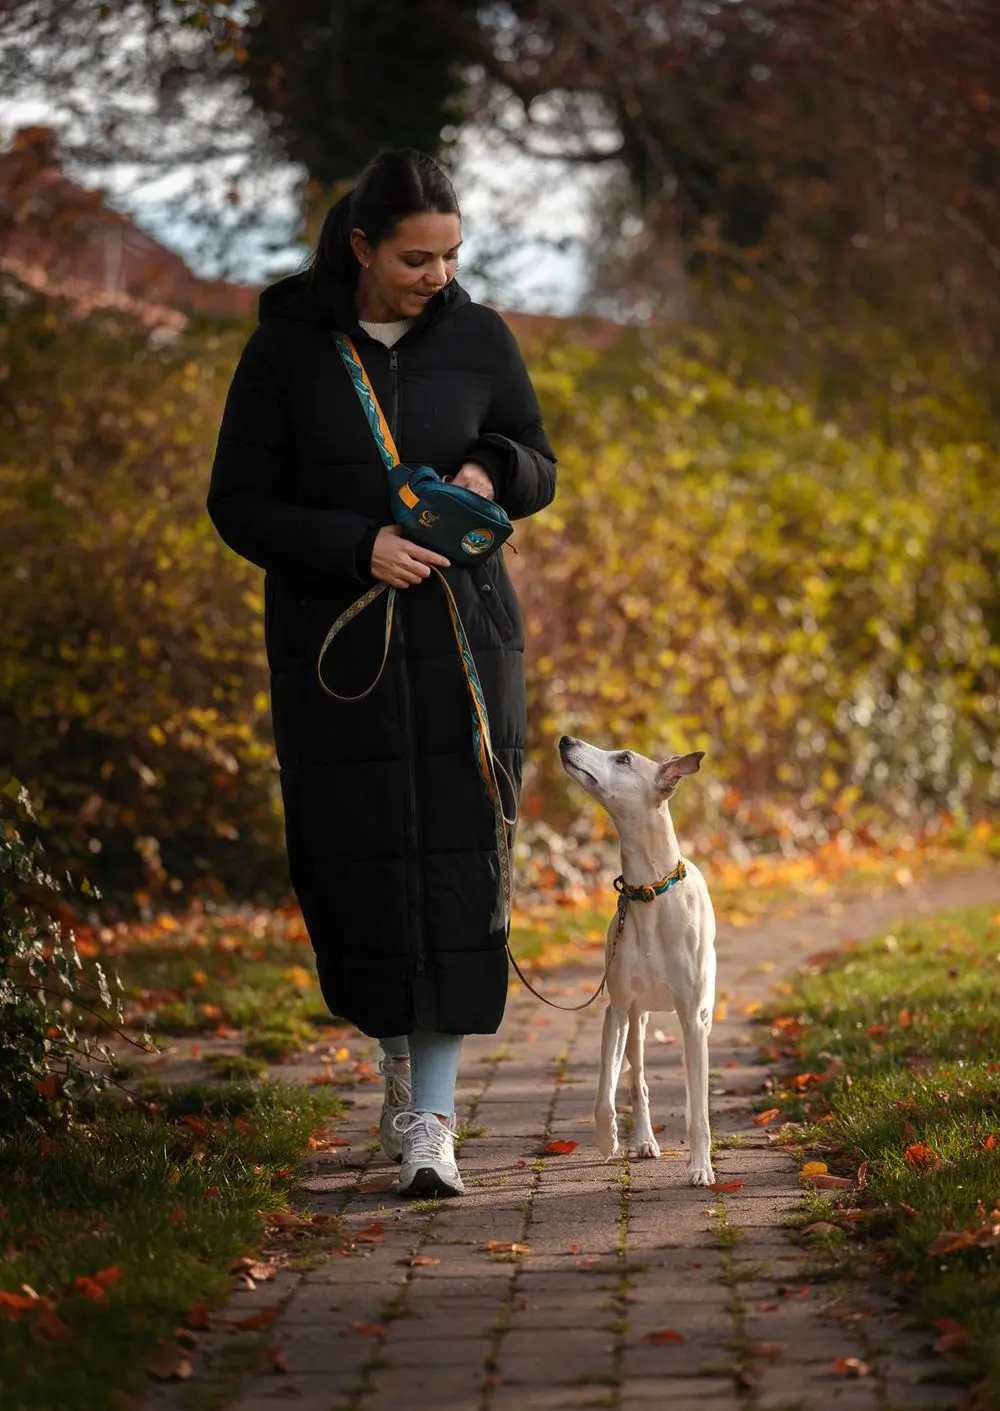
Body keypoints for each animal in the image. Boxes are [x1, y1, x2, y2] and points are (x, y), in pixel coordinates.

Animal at [558, 733, 713, 1185]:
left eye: (624, 758)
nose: (566, 739)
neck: (650, 894)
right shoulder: (617, 1009)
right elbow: (605, 1090)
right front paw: (607, 1138)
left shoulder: (692, 1018)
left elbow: (699, 1108)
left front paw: (701, 1166)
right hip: (638, 1020)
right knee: (637, 1079)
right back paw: (643, 1140)